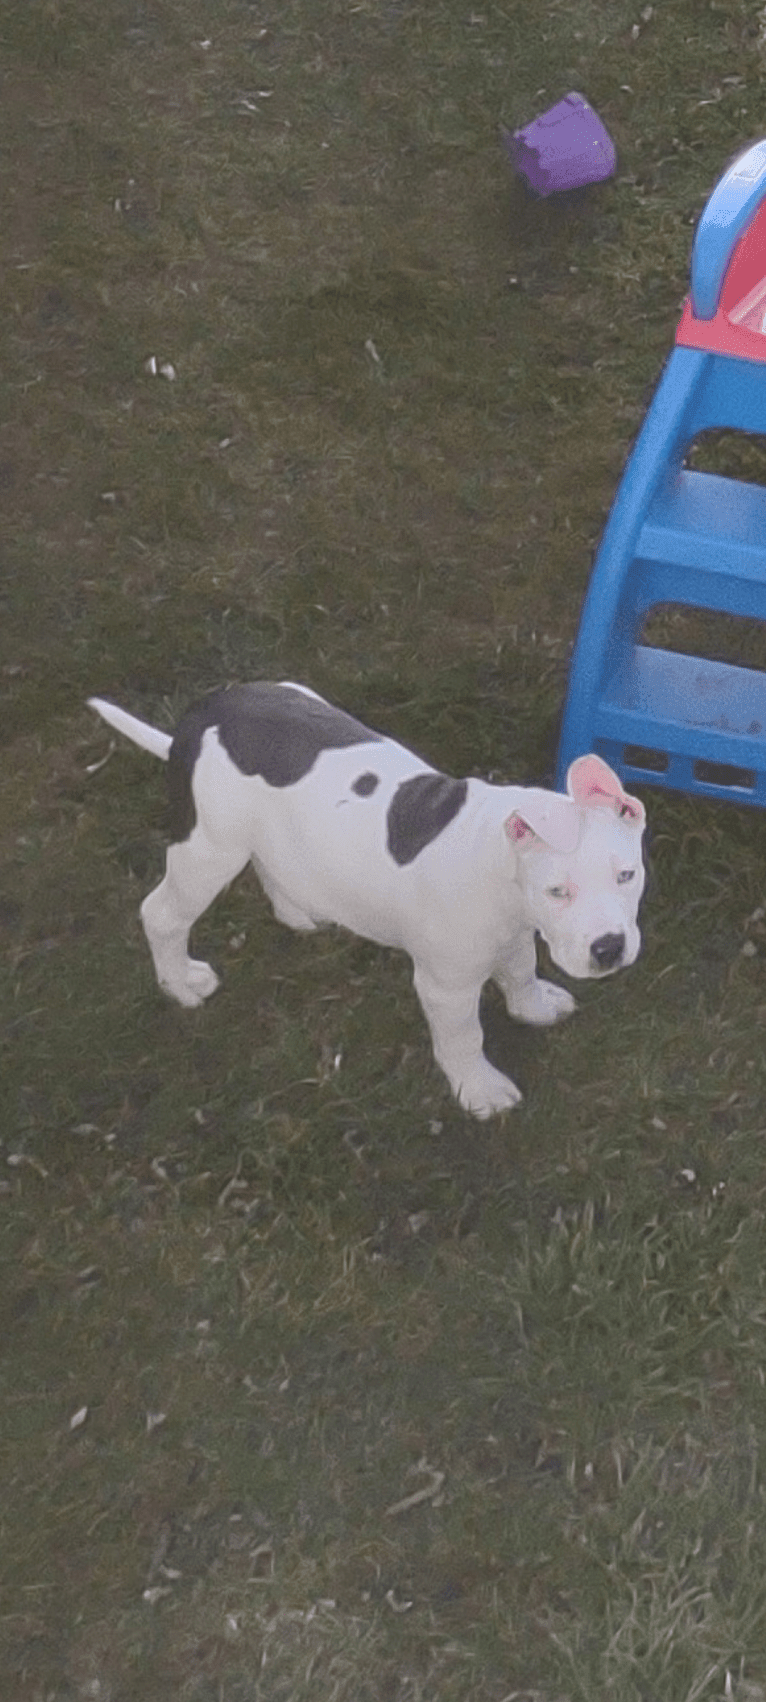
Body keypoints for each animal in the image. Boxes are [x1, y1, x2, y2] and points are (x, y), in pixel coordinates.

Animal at [88, 677, 646, 1116]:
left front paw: (534, 1006)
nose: (609, 948)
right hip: (208, 848)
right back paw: (179, 982)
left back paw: (298, 911)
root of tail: (203, 714)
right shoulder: (445, 985)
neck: (499, 862)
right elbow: (464, 1036)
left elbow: (521, 970)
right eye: (558, 891)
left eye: (627, 875)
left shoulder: (513, 933)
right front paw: (479, 1089)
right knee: (162, 913)